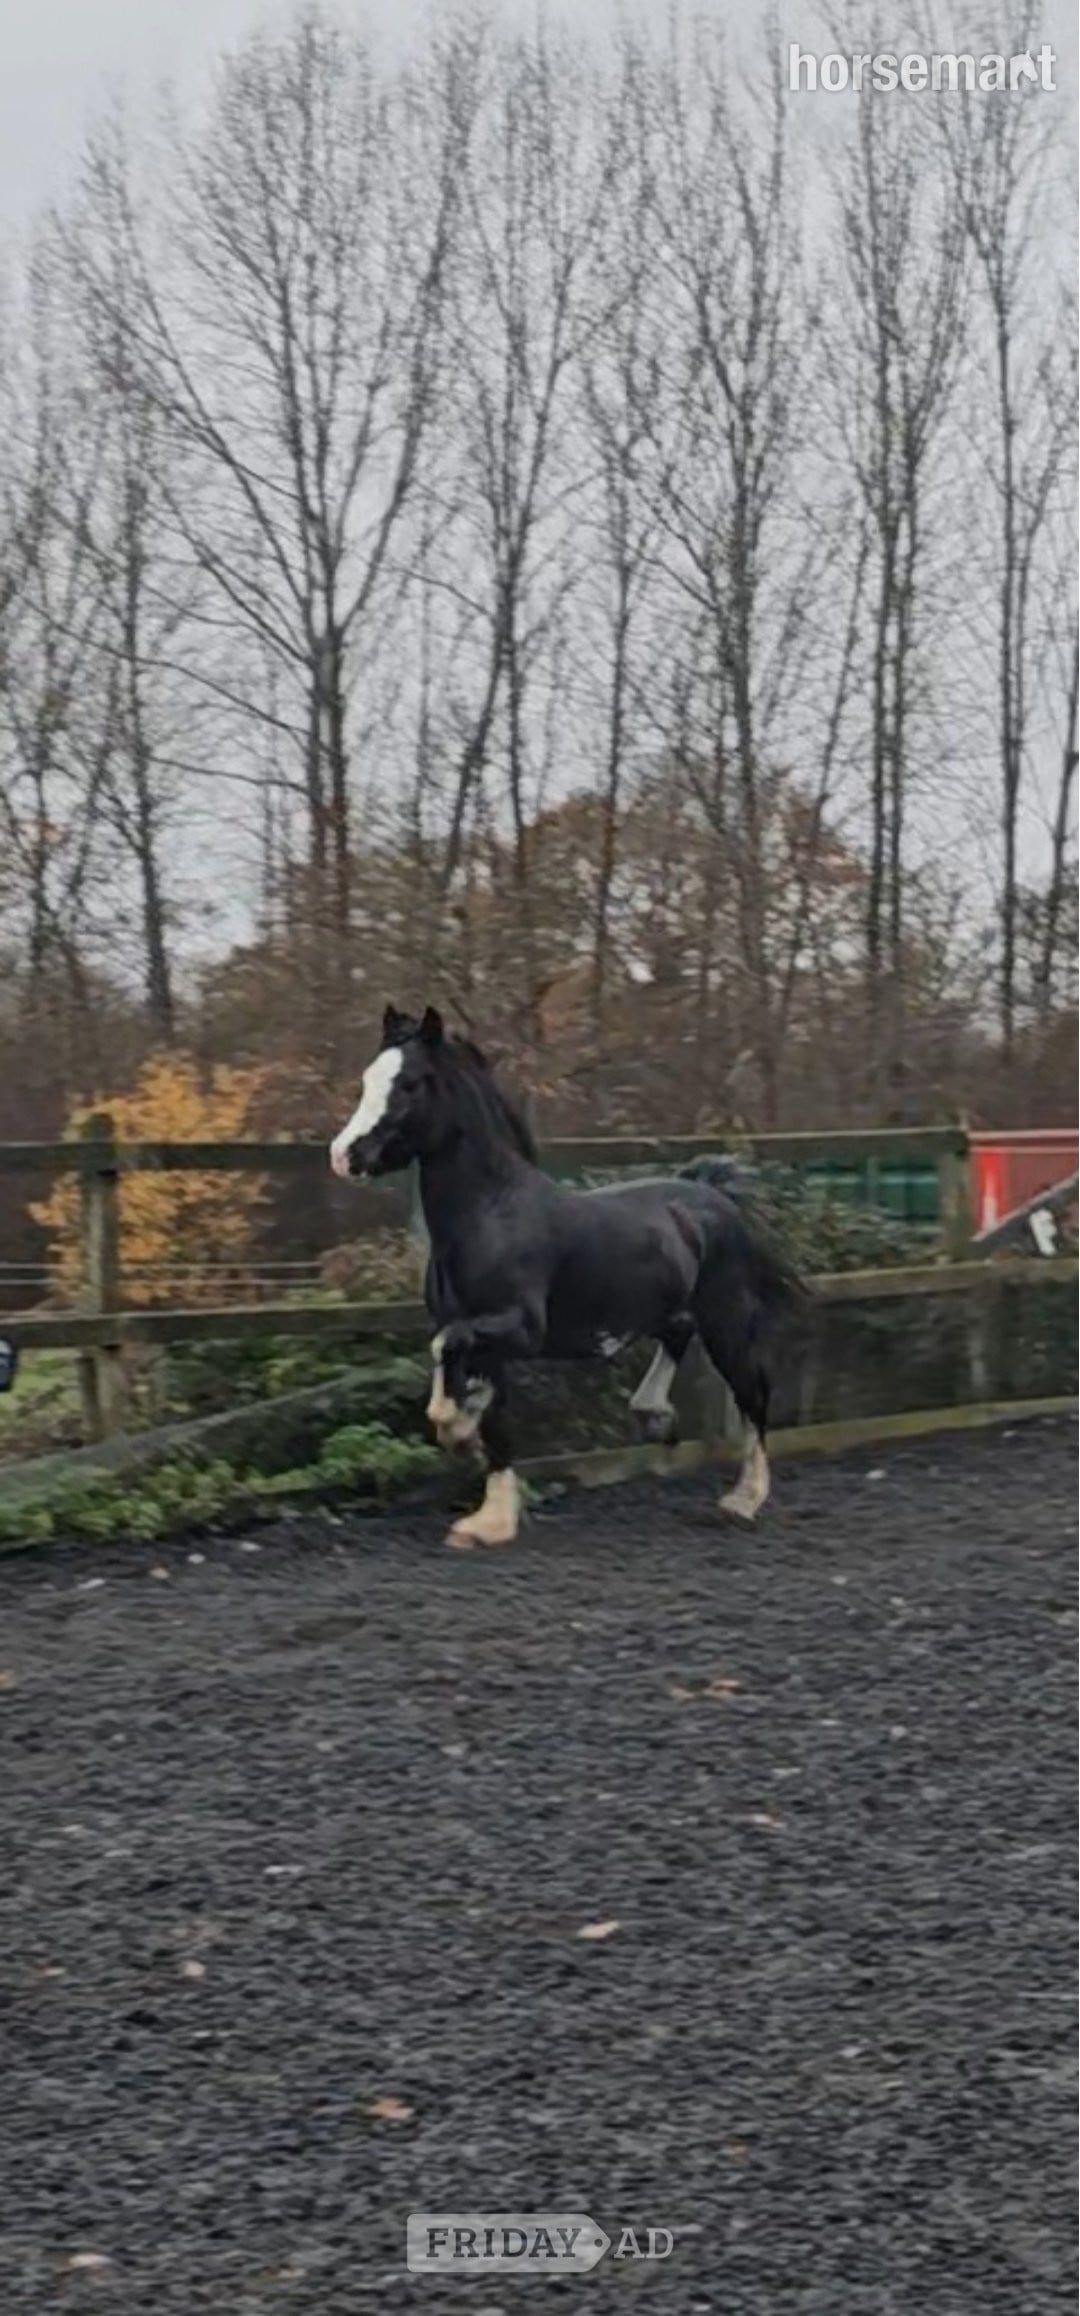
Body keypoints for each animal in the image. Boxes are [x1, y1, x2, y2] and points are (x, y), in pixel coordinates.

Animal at [329, 1004, 803, 1549]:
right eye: (367, 1079)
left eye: (409, 1083)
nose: (343, 1155)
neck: (491, 1215)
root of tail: (715, 1196)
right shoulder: (485, 1340)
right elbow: (492, 1416)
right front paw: (489, 1522)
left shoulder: (517, 1328)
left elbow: (446, 1352)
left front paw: (454, 1430)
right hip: (673, 1311)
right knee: (678, 1340)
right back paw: (656, 1417)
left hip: (726, 1321)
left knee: (754, 1395)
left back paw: (742, 1500)